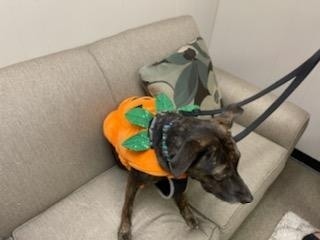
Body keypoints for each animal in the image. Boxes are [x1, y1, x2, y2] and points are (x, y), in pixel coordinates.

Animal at [104, 95, 254, 240]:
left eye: (237, 163)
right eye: (219, 176)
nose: (250, 199)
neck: (162, 140)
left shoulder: (179, 179)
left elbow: (181, 197)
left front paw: (188, 214)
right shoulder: (134, 180)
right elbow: (127, 204)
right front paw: (124, 228)